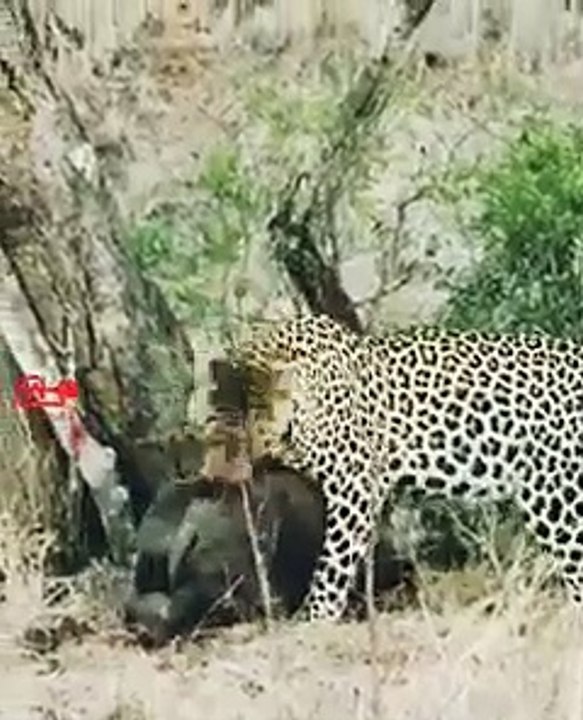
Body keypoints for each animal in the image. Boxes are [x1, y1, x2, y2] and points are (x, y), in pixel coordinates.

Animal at [233, 313, 583, 621]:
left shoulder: (354, 487)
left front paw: (314, 617)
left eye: (259, 418)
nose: (250, 457)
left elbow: (333, 562)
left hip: (554, 497)